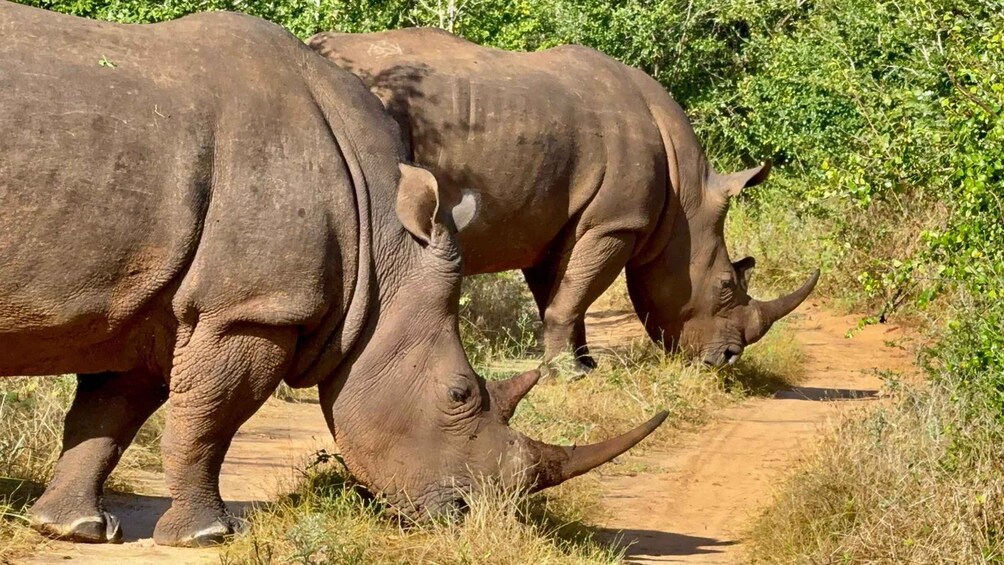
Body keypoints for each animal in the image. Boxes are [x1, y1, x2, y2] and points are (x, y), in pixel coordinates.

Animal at [0, 2, 665, 547]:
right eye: (460, 395)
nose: (465, 516)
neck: (379, 248)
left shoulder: (148, 301)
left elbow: (108, 414)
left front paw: (72, 527)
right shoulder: (252, 309)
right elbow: (208, 420)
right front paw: (209, 534)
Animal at [308, 28, 819, 373]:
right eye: (726, 286)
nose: (728, 358)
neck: (686, 203)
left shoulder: (554, 220)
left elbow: (562, 294)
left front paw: (584, 366)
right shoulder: (617, 221)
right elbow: (571, 296)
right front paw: (566, 374)